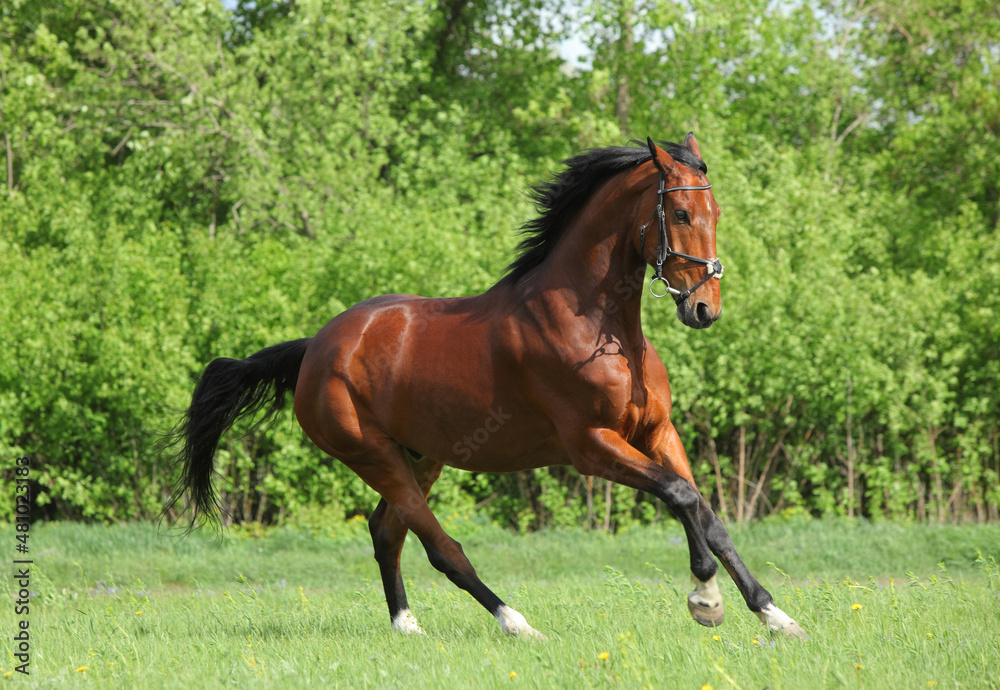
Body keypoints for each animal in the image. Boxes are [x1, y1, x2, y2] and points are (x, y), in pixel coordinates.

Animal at [170, 134, 807, 640]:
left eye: (715, 210)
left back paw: (407, 627)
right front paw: (705, 601)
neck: (599, 327)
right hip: (371, 454)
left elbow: (707, 512)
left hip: (422, 456)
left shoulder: (656, 432)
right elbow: (679, 496)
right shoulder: (591, 445)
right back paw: (517, 624)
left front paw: (774, 616)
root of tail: (316, 349)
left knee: (386, 532)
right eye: (679, 213)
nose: (704, 309)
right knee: (439, 547)